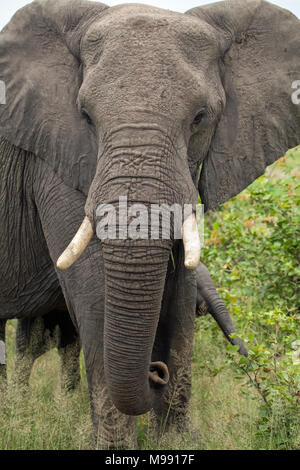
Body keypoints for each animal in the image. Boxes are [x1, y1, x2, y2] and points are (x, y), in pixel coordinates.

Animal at [0, 0, 298, 448]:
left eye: (200, 117)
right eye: (85, 116)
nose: (155, 373)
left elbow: (179, 296)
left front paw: (176, 442)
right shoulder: (54, 156)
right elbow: (94, 291)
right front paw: (115, 447)